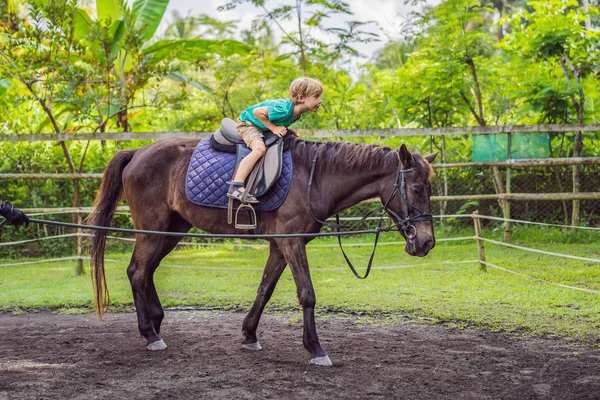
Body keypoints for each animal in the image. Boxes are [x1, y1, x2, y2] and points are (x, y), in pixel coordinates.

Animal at [88, 135, 436, 366]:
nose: (426, 242)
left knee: (147, 270)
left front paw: (249, 336)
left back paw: (156, 322)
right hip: (153, 229)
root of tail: (137, 152)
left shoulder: (280, 247)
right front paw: (315, 348)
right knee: (137, 271)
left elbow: (264, 290)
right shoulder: (291, 242)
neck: (315, 178)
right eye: (417, 188)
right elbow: (307, 295)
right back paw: (150, 333)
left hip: (172, 229)